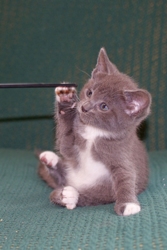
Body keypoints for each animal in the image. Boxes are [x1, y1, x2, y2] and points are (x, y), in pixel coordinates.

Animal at [37, 48, 151, 215]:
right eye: (90, 93)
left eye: (104, 106)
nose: (84, 107)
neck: (94, 133)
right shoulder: (72, 146)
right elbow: (65, 138)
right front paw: (65, 98)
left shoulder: (122, 153)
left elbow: (126, 176)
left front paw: (128, 204)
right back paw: (51, 160)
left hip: (101, 192)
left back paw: (70, 196)